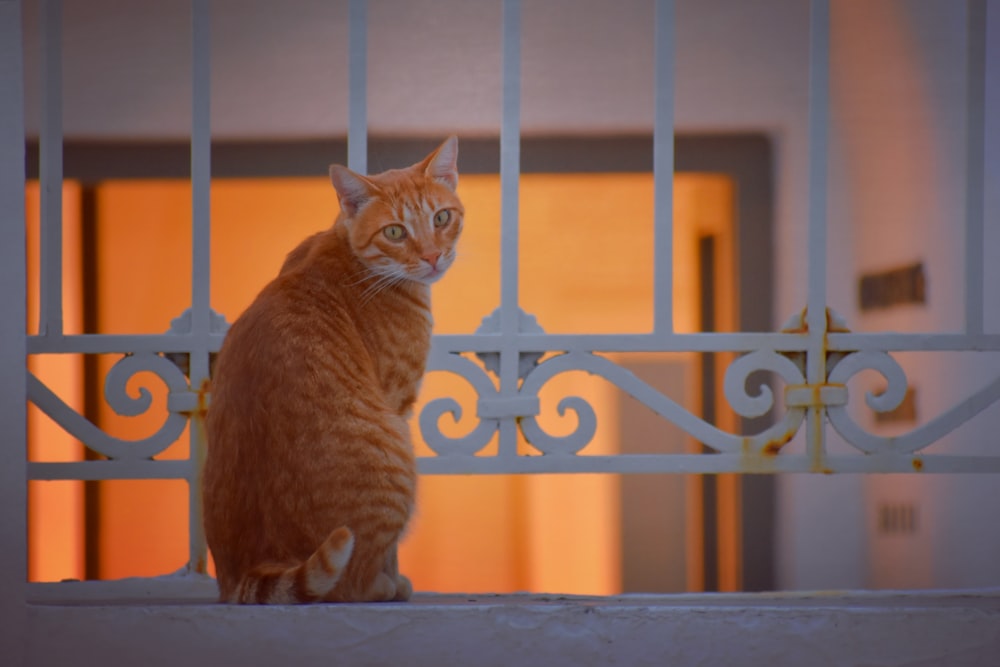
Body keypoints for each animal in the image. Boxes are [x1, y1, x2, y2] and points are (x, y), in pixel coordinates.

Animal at [204, 137, 468, 604]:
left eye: (441, 217)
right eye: (395, 231)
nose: (434, 256)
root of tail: (250, 573)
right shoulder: (397, 404)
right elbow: (389, 553)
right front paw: (395, 579)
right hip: (396, 453)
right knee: (351, 583)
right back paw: (383, 586)